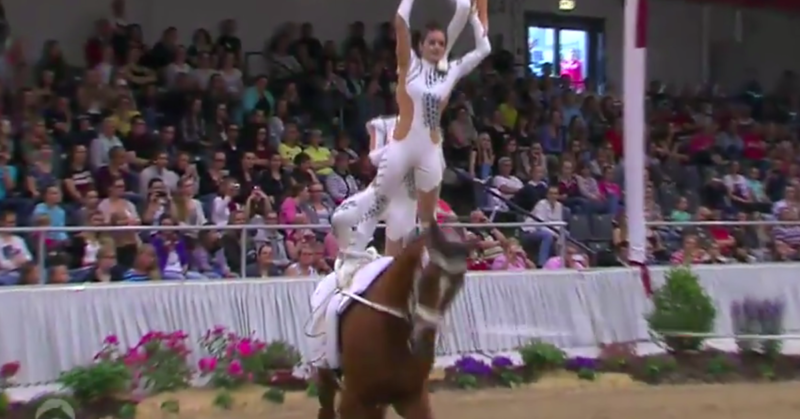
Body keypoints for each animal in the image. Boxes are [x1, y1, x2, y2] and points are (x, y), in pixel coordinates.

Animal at [316, 225, 472, 419]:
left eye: (458, 284)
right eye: (427, 278)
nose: (423, 343)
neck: (391, 331)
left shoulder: (412, 398)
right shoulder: (353, 400)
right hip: (327, 380)